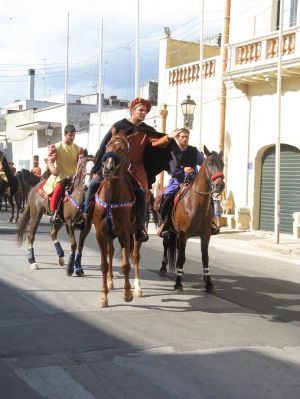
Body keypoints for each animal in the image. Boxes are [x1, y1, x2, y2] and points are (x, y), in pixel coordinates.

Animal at [94, 130, 145, 308]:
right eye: (108, 144)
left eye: (123, 149)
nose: (108, 168)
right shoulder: (101, 233)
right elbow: (104, 264)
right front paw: (103, 296)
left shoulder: (124, 233)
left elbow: (125, 264)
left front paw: (128, 293)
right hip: (110, 235)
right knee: (110, 253)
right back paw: (110, 282)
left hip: (135, 234)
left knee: (135, 257)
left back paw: (138, 287)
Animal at [161, 147, 224, 294]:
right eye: (209, 163)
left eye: (223, 164)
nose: (220, 185)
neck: (197, 203)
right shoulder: (184, 234)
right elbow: (181, 258)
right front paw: (178, 284)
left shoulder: (205, 234)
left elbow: (205, 258)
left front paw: (209, 284)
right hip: (170, 230)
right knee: (166, 244)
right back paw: (163, 267)